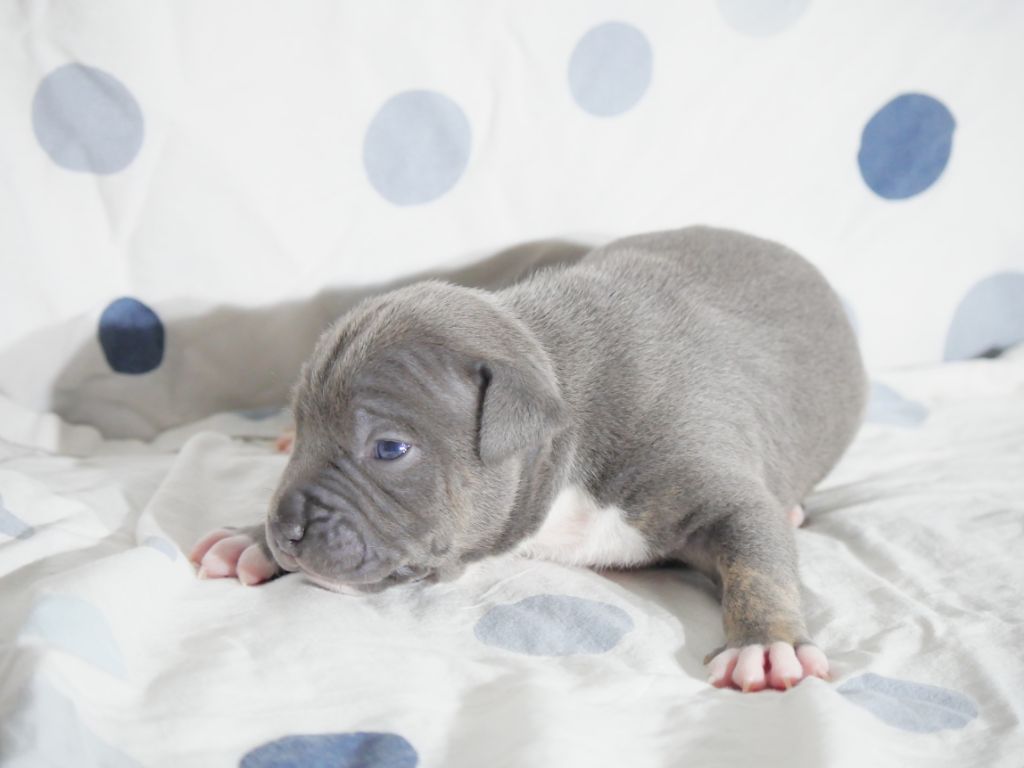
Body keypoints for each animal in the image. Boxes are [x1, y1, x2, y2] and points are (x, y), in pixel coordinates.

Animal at [191, 226, 866, 692]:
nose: (285, 528)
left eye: (389, 449)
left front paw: (767, 642)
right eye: (309, 427)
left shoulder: (697, 468)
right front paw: (250, 537)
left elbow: (757, 554)